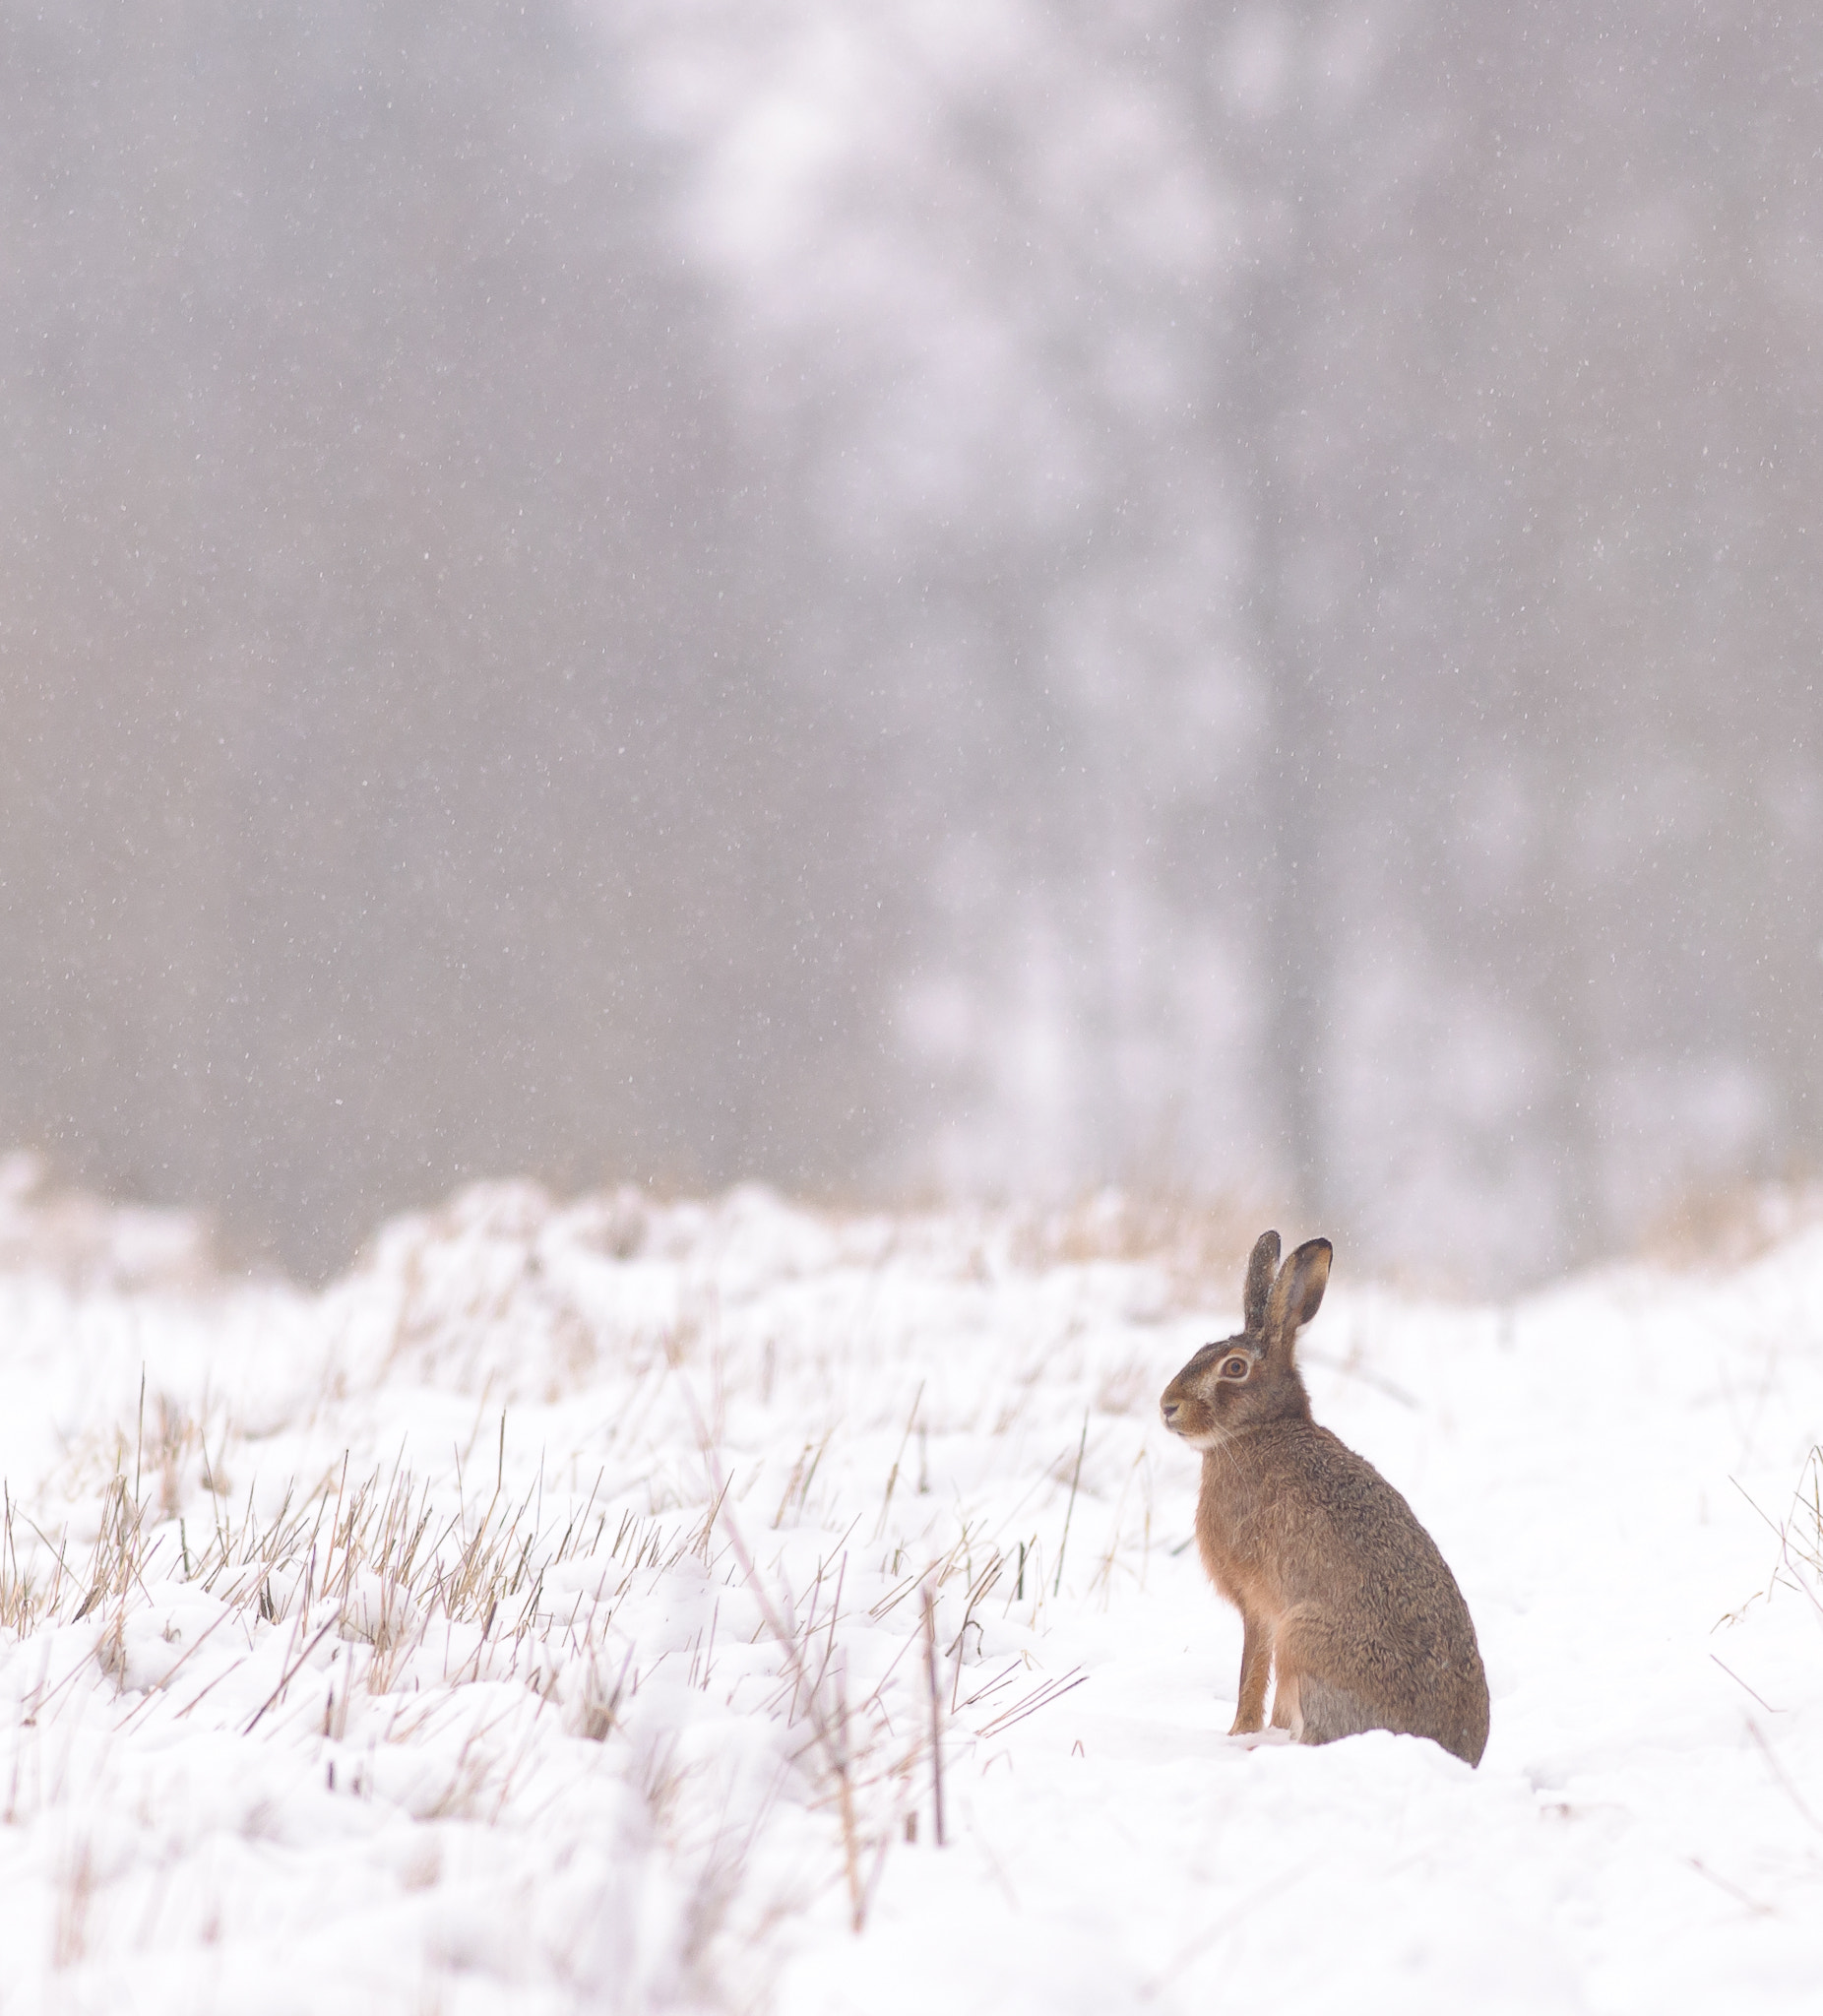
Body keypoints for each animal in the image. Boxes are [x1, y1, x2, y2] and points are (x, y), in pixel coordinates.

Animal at [1159, 1231, 1489, 1766]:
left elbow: (1252, 1672)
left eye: (1234, 1368)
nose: (1167, 1407)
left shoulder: (1259, 1606)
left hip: (1303, 1635)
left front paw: (1238, 1734)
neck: (1261, 1428)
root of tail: (1453, 1752)